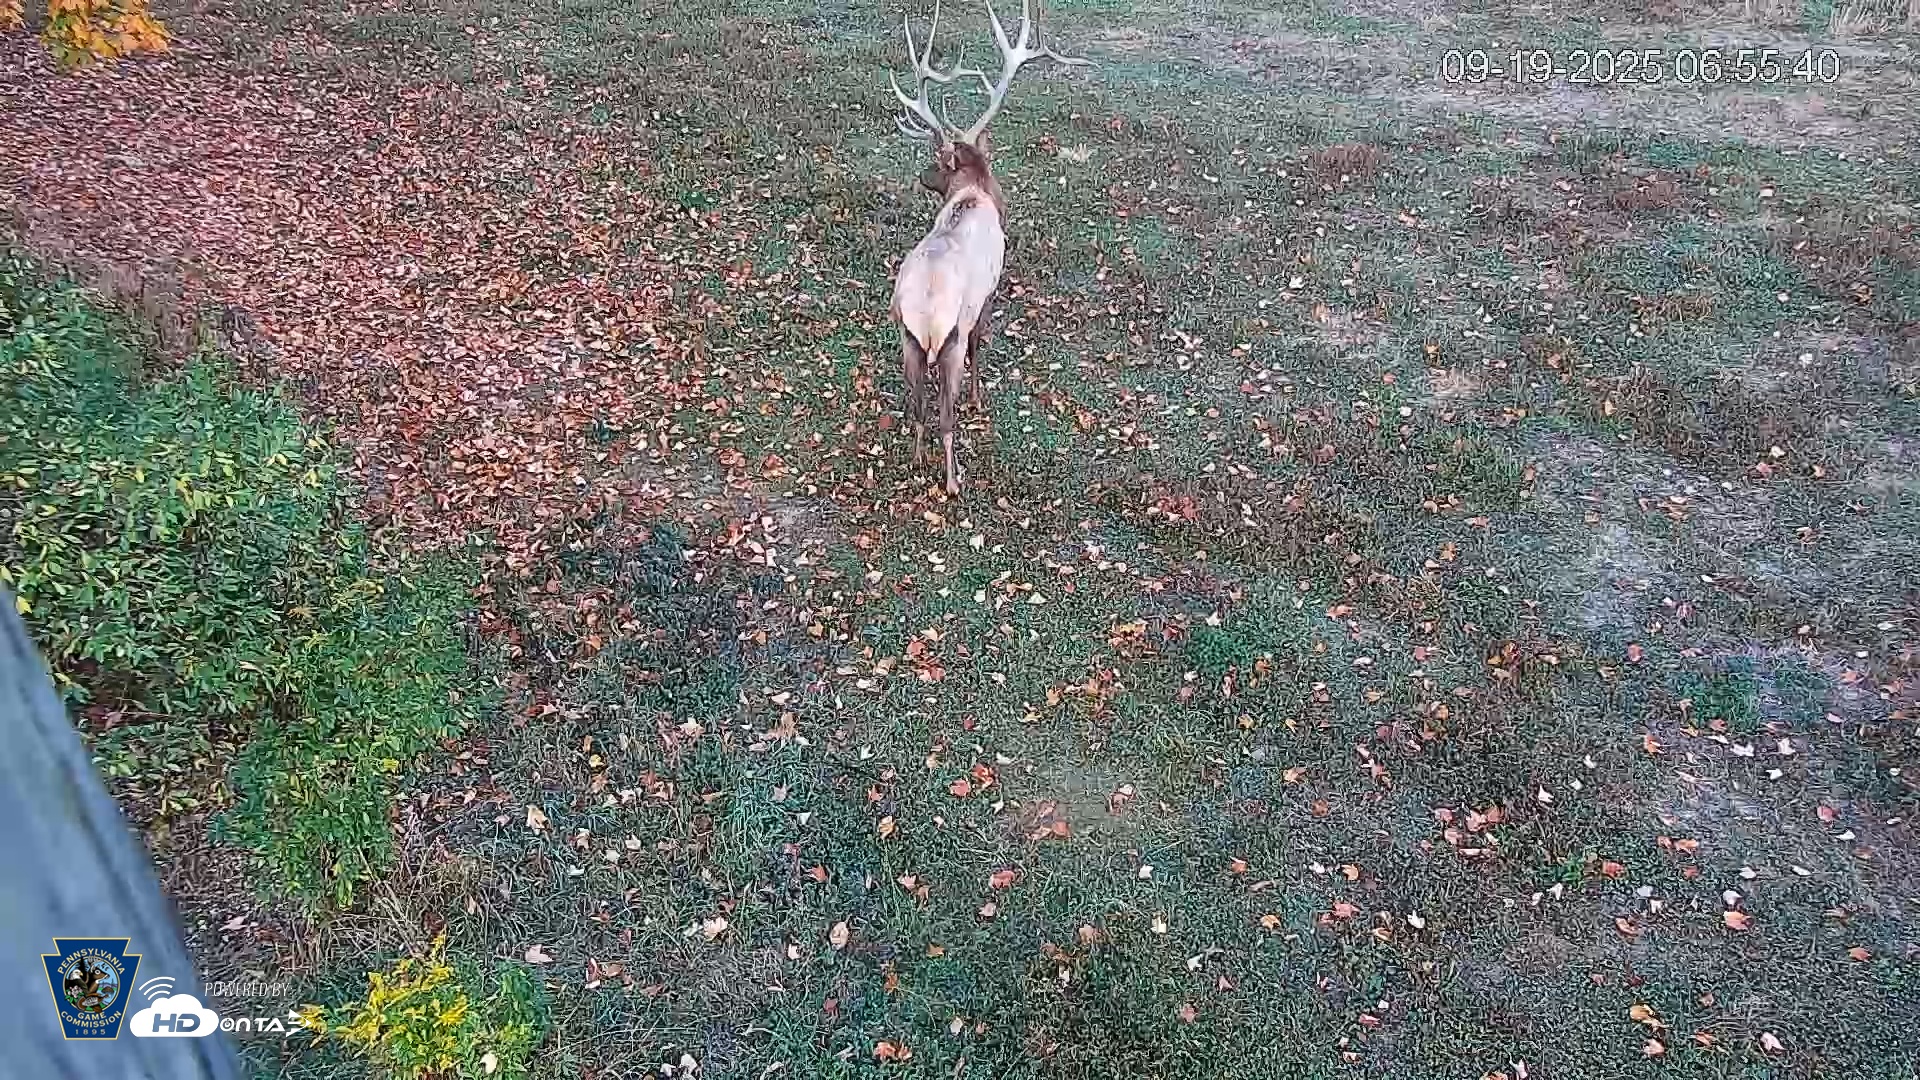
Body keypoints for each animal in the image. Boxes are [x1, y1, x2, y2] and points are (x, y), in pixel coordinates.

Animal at [887, 0, 1090, 496]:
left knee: (918, 407)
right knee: (944, 415)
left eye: (938, 162)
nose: (922, 175)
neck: (976, 194)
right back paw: (952, 481)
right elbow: (982, 343)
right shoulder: (989, 293)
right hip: (949, 338)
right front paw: (980, 399)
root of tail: (924, 310)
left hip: (908, 340)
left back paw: (917, 461)